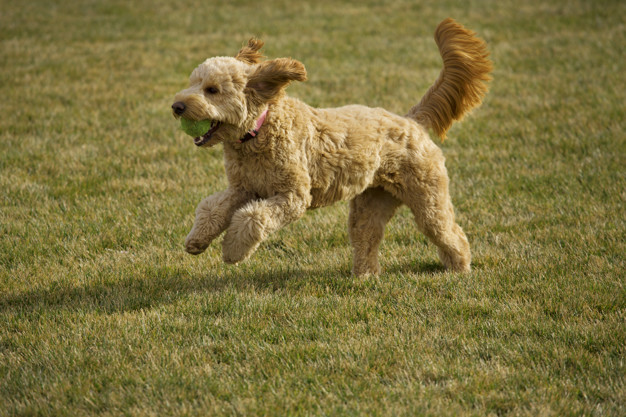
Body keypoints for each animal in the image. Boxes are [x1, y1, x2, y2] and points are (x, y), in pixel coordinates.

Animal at [173, 17, 490, 274]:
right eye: (192, 83)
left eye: (212, 90)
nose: (177, 106)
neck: (258, 130)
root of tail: (412, 120)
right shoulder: (243, 189)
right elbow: (211, 208)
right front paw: (196, 241)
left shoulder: (293, 195)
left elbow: (253, 218)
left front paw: (232, 251)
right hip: (371, 202)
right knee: (367, 238)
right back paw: (364, 276)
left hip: (427, 195)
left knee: (448, 231)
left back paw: (460, 268)